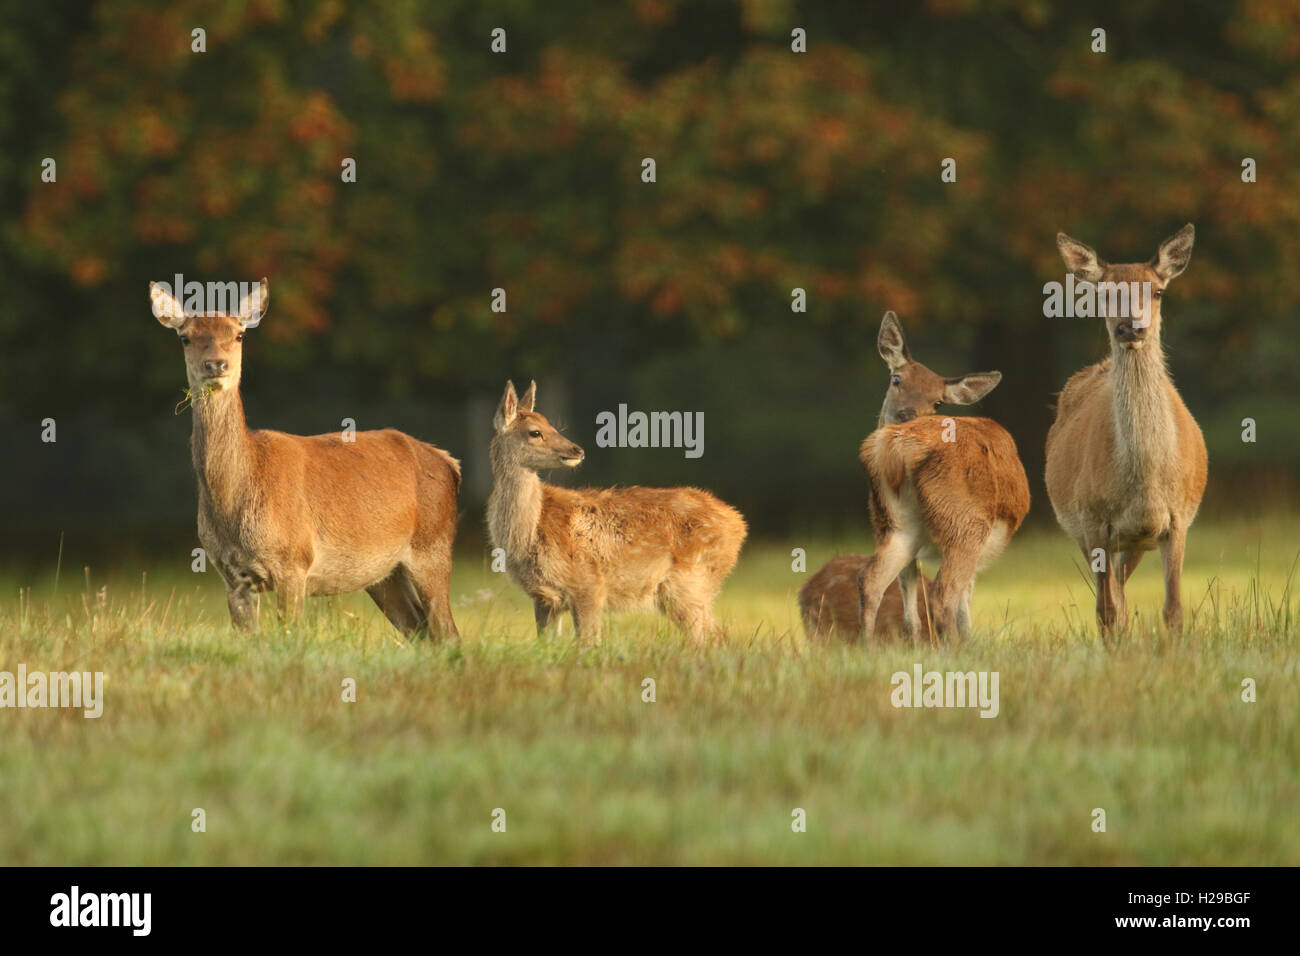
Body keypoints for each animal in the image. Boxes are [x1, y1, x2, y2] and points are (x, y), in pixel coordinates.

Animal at [857, 314, 1029, 642]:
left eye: (937, 402)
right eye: (897, 379)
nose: (907, 414)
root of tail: (900, 444)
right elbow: (965, 602)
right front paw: (966, 640)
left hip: (892, 523)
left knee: (871, 579)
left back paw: (867, 645)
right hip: (965, 523)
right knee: (943, 592)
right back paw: (954, 646)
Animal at [1045, 223, 1206, 634]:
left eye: (1158, 290)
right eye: (1104, 293)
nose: (1130, 328)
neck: (1145, 482)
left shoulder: (1178, 519)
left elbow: (1173, 609)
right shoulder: (1092, 520)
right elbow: (1106, 611)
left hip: (1133, 543)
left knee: (1121, 591)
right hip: (1086, 531)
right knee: (1111, 600)